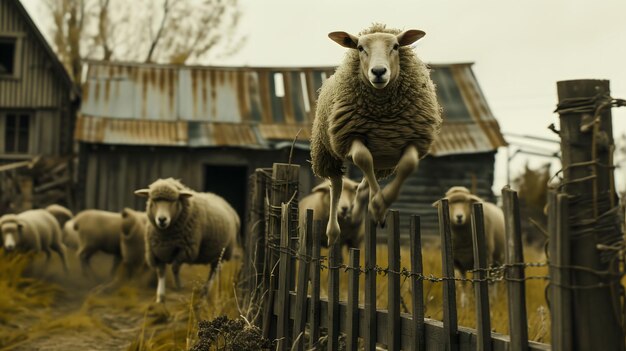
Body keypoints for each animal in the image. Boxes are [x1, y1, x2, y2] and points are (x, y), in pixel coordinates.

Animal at [310, 23, 438, 246]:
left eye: (396, 46)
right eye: (360, 48)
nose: (378, 72)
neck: (383, 113)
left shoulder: (411, 140)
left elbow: (408, 165)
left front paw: (379, 206)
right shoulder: (351, 136)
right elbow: (362, 158)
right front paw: (378, 205)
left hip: (383, 158)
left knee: (365, 183)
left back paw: (360, 212)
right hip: (328, 151)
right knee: (336, 184)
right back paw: (333, 231)